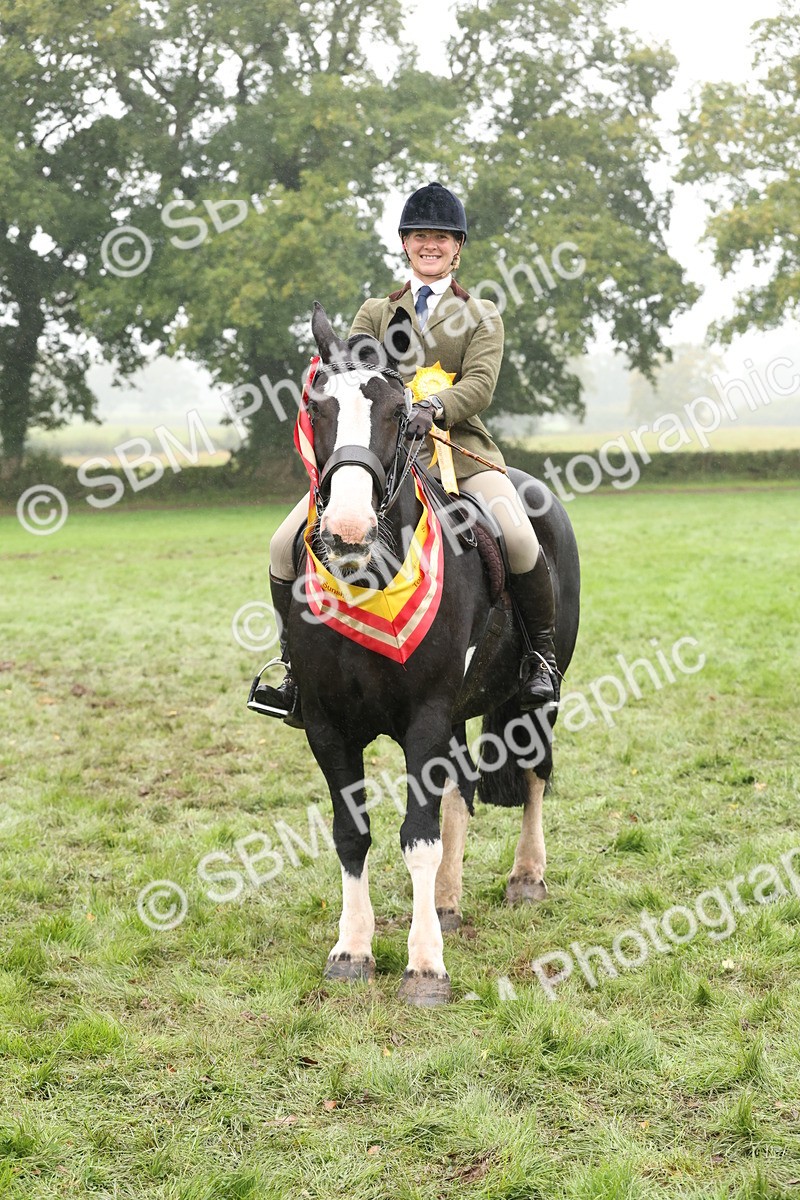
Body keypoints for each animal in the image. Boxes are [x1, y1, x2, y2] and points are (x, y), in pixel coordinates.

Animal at [286, 301, 580, 1006]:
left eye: (400, 411)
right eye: (317, 407)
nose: (348, 530)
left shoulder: (423, 716)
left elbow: (416, 836)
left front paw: (425, 968)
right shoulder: (326, 725)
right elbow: (352, 833)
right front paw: (352, 951)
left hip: (537, 697)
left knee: (533, 775)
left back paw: (526, 879)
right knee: (463, 789)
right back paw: (447, 900)